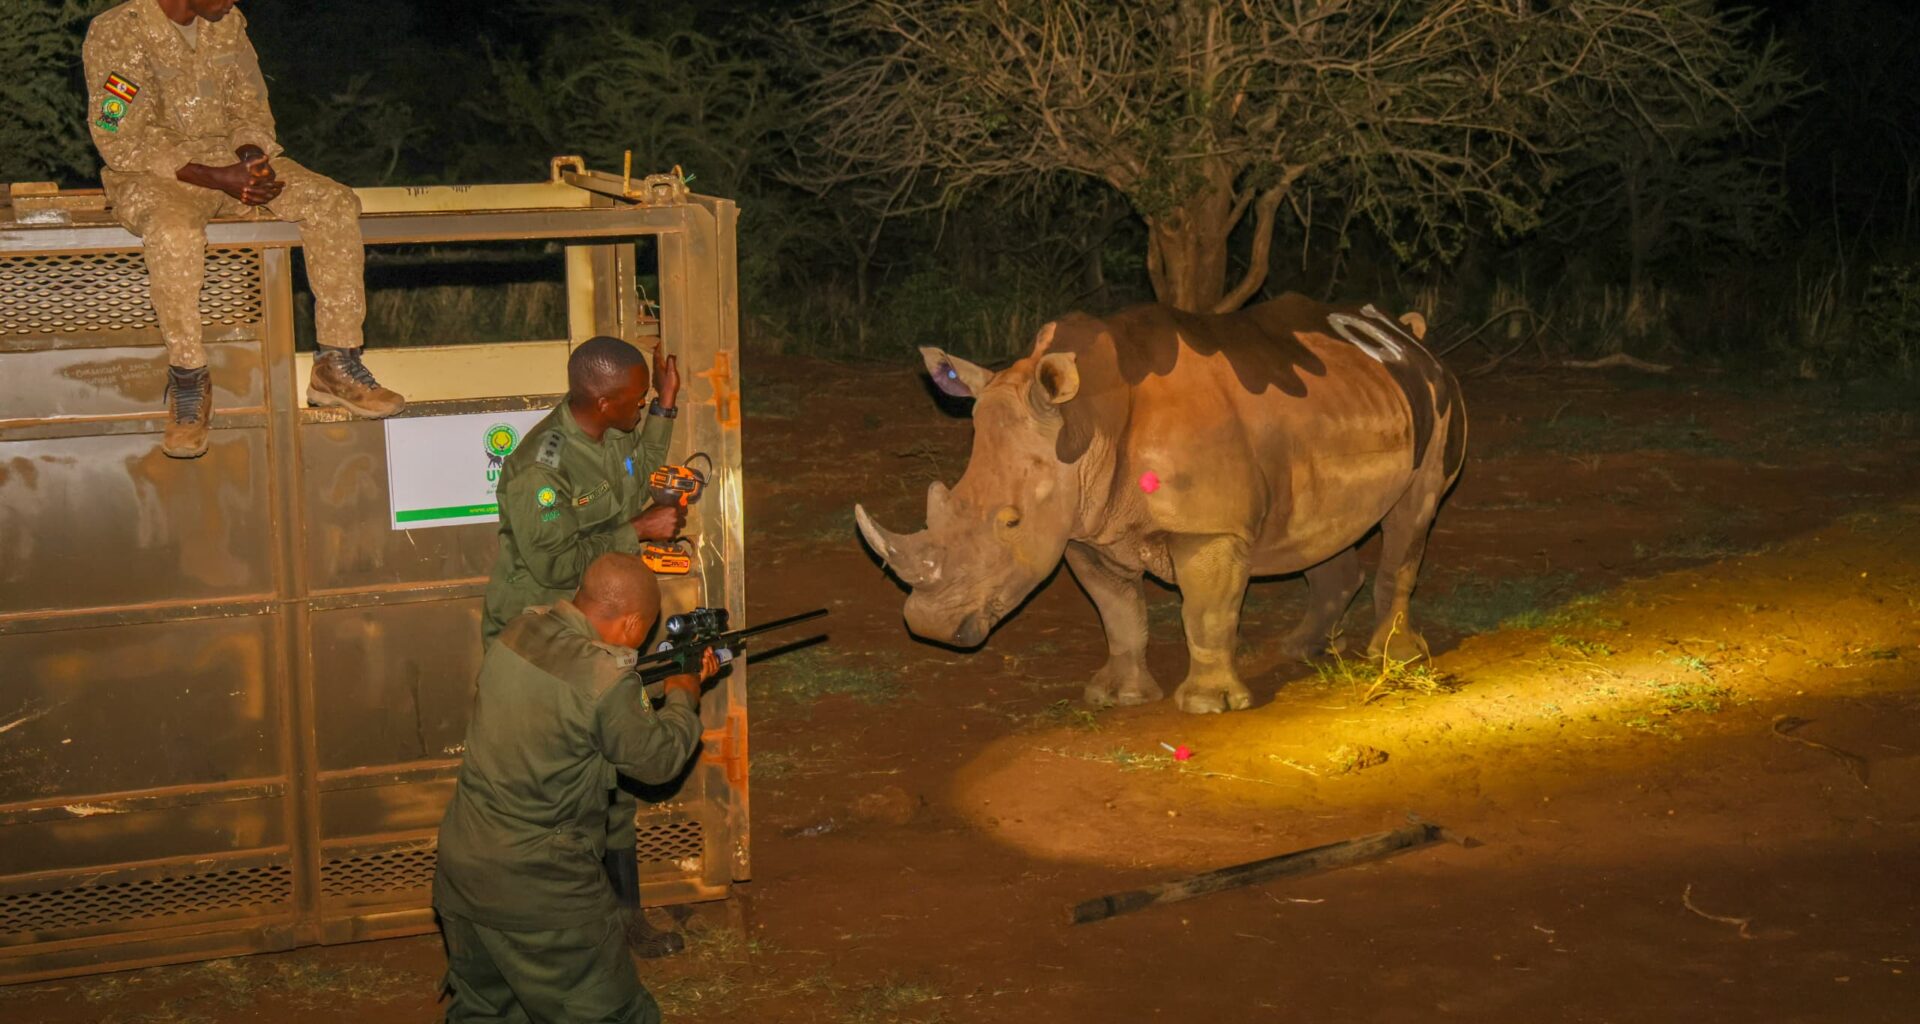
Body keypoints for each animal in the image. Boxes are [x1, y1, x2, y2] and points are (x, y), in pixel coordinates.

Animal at [855, 293, 1467, 713]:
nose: (931, 626)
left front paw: (1209, 706)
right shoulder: (1086, 527)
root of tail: (1406, 334)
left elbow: (1206, 611)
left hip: (1438, 406)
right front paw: (1117, 697)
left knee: (1412, 519)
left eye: (1011, 521)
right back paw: (1301, 650)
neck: (1084, 424)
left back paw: (1394, 659)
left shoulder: (1208, 526)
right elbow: (1118, 612)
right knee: (1323, 528)